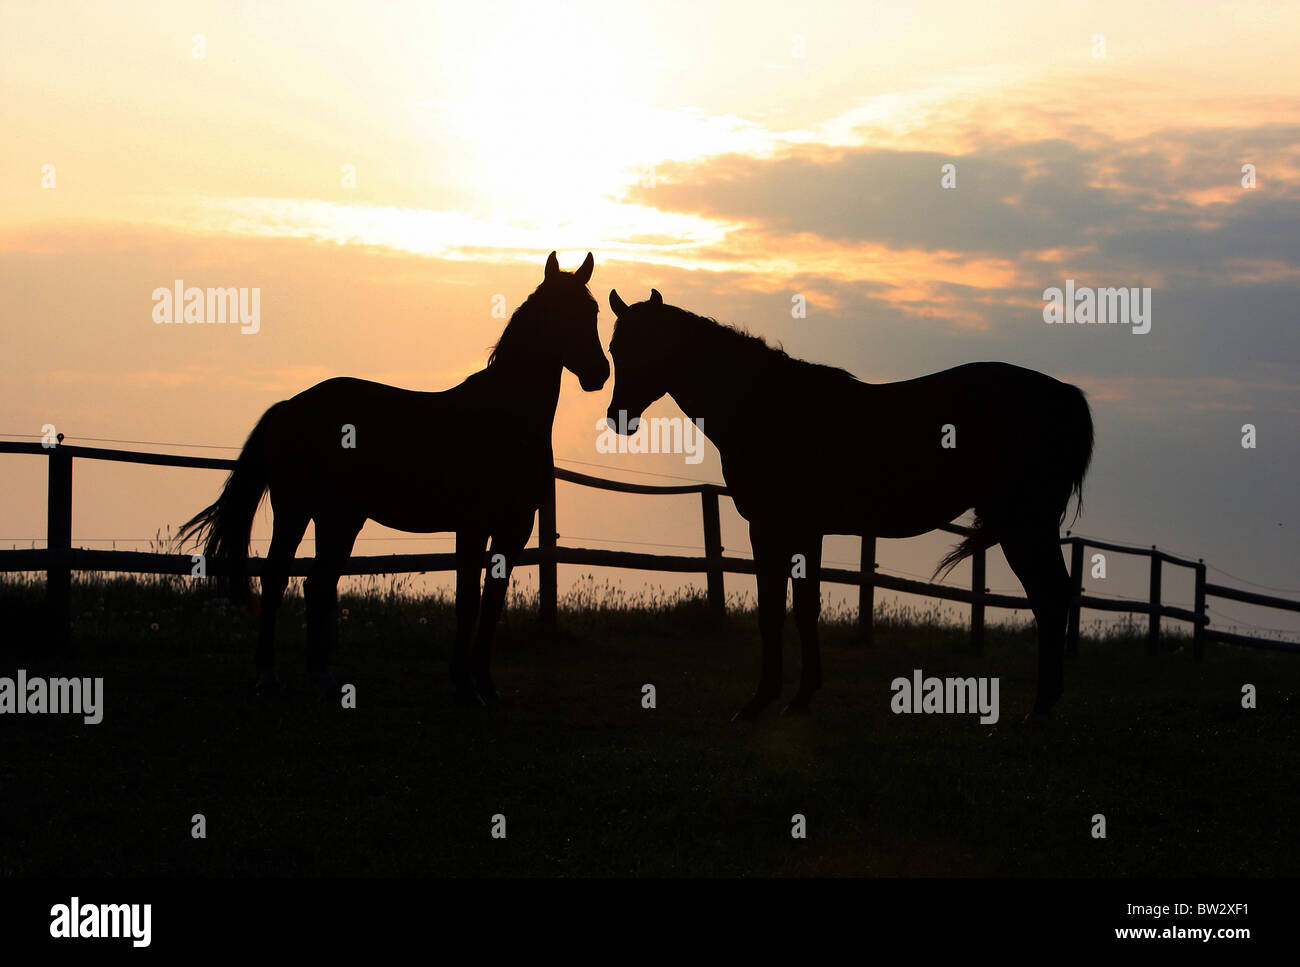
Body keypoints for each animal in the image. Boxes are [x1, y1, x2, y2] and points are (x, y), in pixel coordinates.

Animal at [178, 249, 608, 701]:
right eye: (558, 312)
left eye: (593, 310)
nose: (599, 373)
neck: (505, 418)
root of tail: (290, 407)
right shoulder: (473, 526)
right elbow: (469, 601)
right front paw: (462, 683)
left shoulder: (516, 528)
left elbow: (492, 603)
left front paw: (485, 687)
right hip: (295, 510)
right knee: (278, 578)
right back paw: (267, 675)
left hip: (339, 518)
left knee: (317, 583)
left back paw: (324, 678)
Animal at [603, 284, 1092, 717]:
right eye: (613, 349)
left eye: (648, 346)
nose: (618, 418)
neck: (766, 407)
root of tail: (1065, 395)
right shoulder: (802, 531)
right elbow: (800, 609)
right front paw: (796, 697)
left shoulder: (776, 527)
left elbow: (779, 611)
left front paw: (765, 702)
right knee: (1051, 597)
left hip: (1025, 524)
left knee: (1050, 597)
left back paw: (1041, 707)